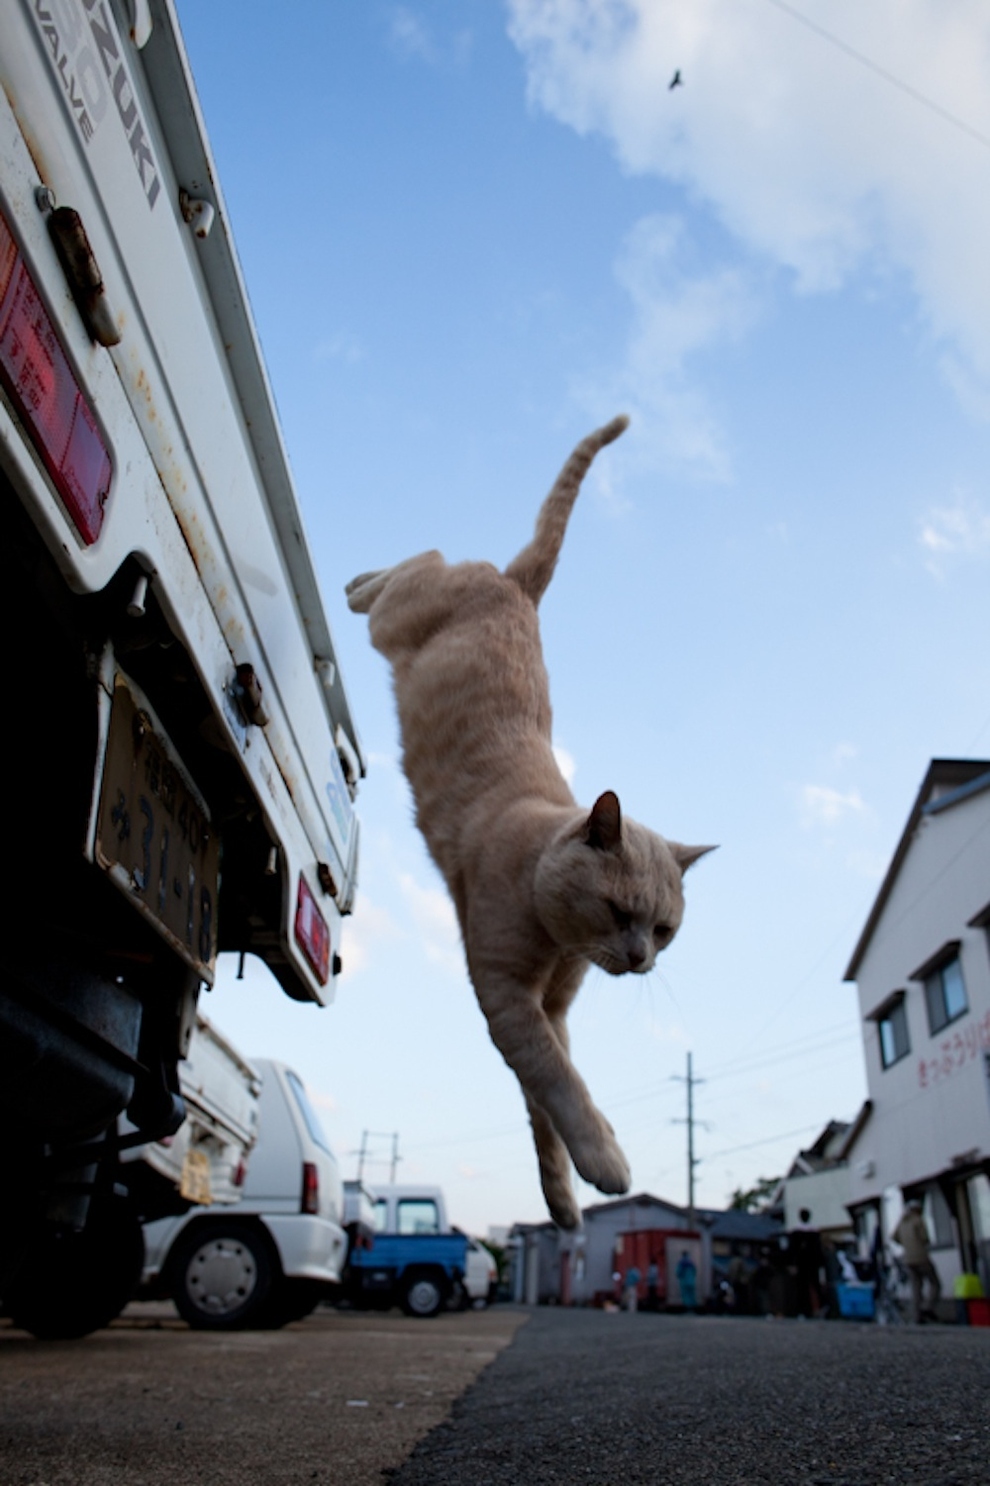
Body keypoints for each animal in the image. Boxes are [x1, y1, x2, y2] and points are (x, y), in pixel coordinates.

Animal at [346, 419, 710, 1230]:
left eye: (664, 930)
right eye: (620, 911)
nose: (640, 958)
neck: (560, 945)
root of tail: (520, 588)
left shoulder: (551, 1010)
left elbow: (545, 1106)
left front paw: (564, 1201)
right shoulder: (507, 995)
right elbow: (560, 1083)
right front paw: (606, 1162)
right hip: (401, 617)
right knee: (417, 561)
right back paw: (354, 583)